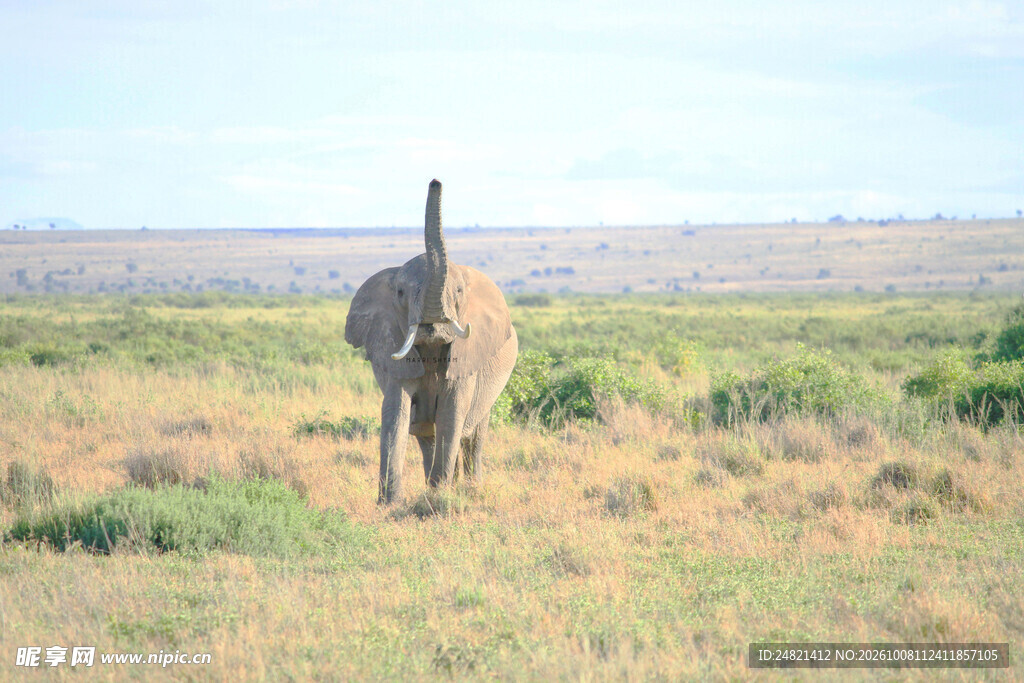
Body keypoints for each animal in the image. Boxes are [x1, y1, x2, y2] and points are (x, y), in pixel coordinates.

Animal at [344, 180, 518, 503]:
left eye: (459, 291)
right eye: (400, 292)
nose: (435, 182)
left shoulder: (467, 360)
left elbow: (452, 414)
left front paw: (440, 497)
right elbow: (395, 414)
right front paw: (391, 504)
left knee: (472, 435)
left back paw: (469, 488)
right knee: (427, 435)